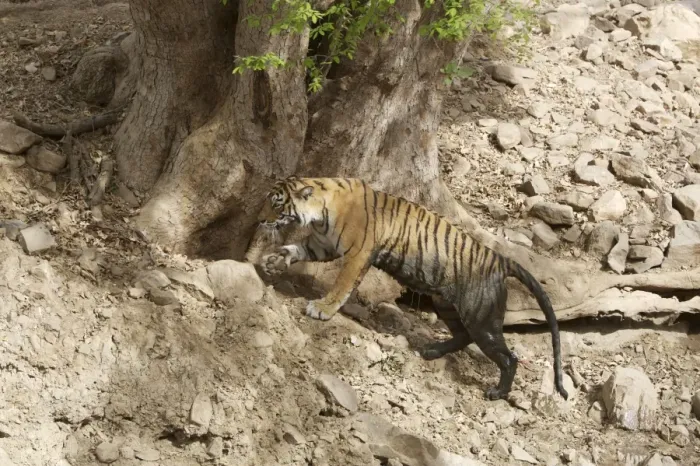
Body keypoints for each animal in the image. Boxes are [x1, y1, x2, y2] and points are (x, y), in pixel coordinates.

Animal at [255, 176, 568, 401]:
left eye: (277, 205)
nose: (260, 219)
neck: (321, 211)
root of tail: (501, 259)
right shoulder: (322, 245)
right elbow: (295, 249)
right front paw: (273, 260)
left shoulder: (357, 254)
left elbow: (341, 284)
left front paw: (322, 308)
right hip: (447, 304)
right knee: (463, 335)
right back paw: (432, 351)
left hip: (483, 319)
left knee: (508, 357)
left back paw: (497, 393)